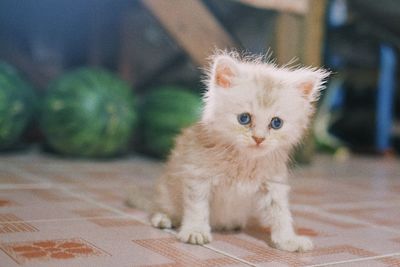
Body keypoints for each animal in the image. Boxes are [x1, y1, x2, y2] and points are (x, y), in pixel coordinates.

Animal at [141, 52, 328, 253]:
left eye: (276, 123)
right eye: (244, 119)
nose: (259, 139)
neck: (244, 161)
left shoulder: (273, 184)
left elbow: (281, 214)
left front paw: (288, 240)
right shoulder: (197, 176)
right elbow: (197, 208)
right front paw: (195, 231)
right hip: (165, 191)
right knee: (160, 206)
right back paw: (163, 218)